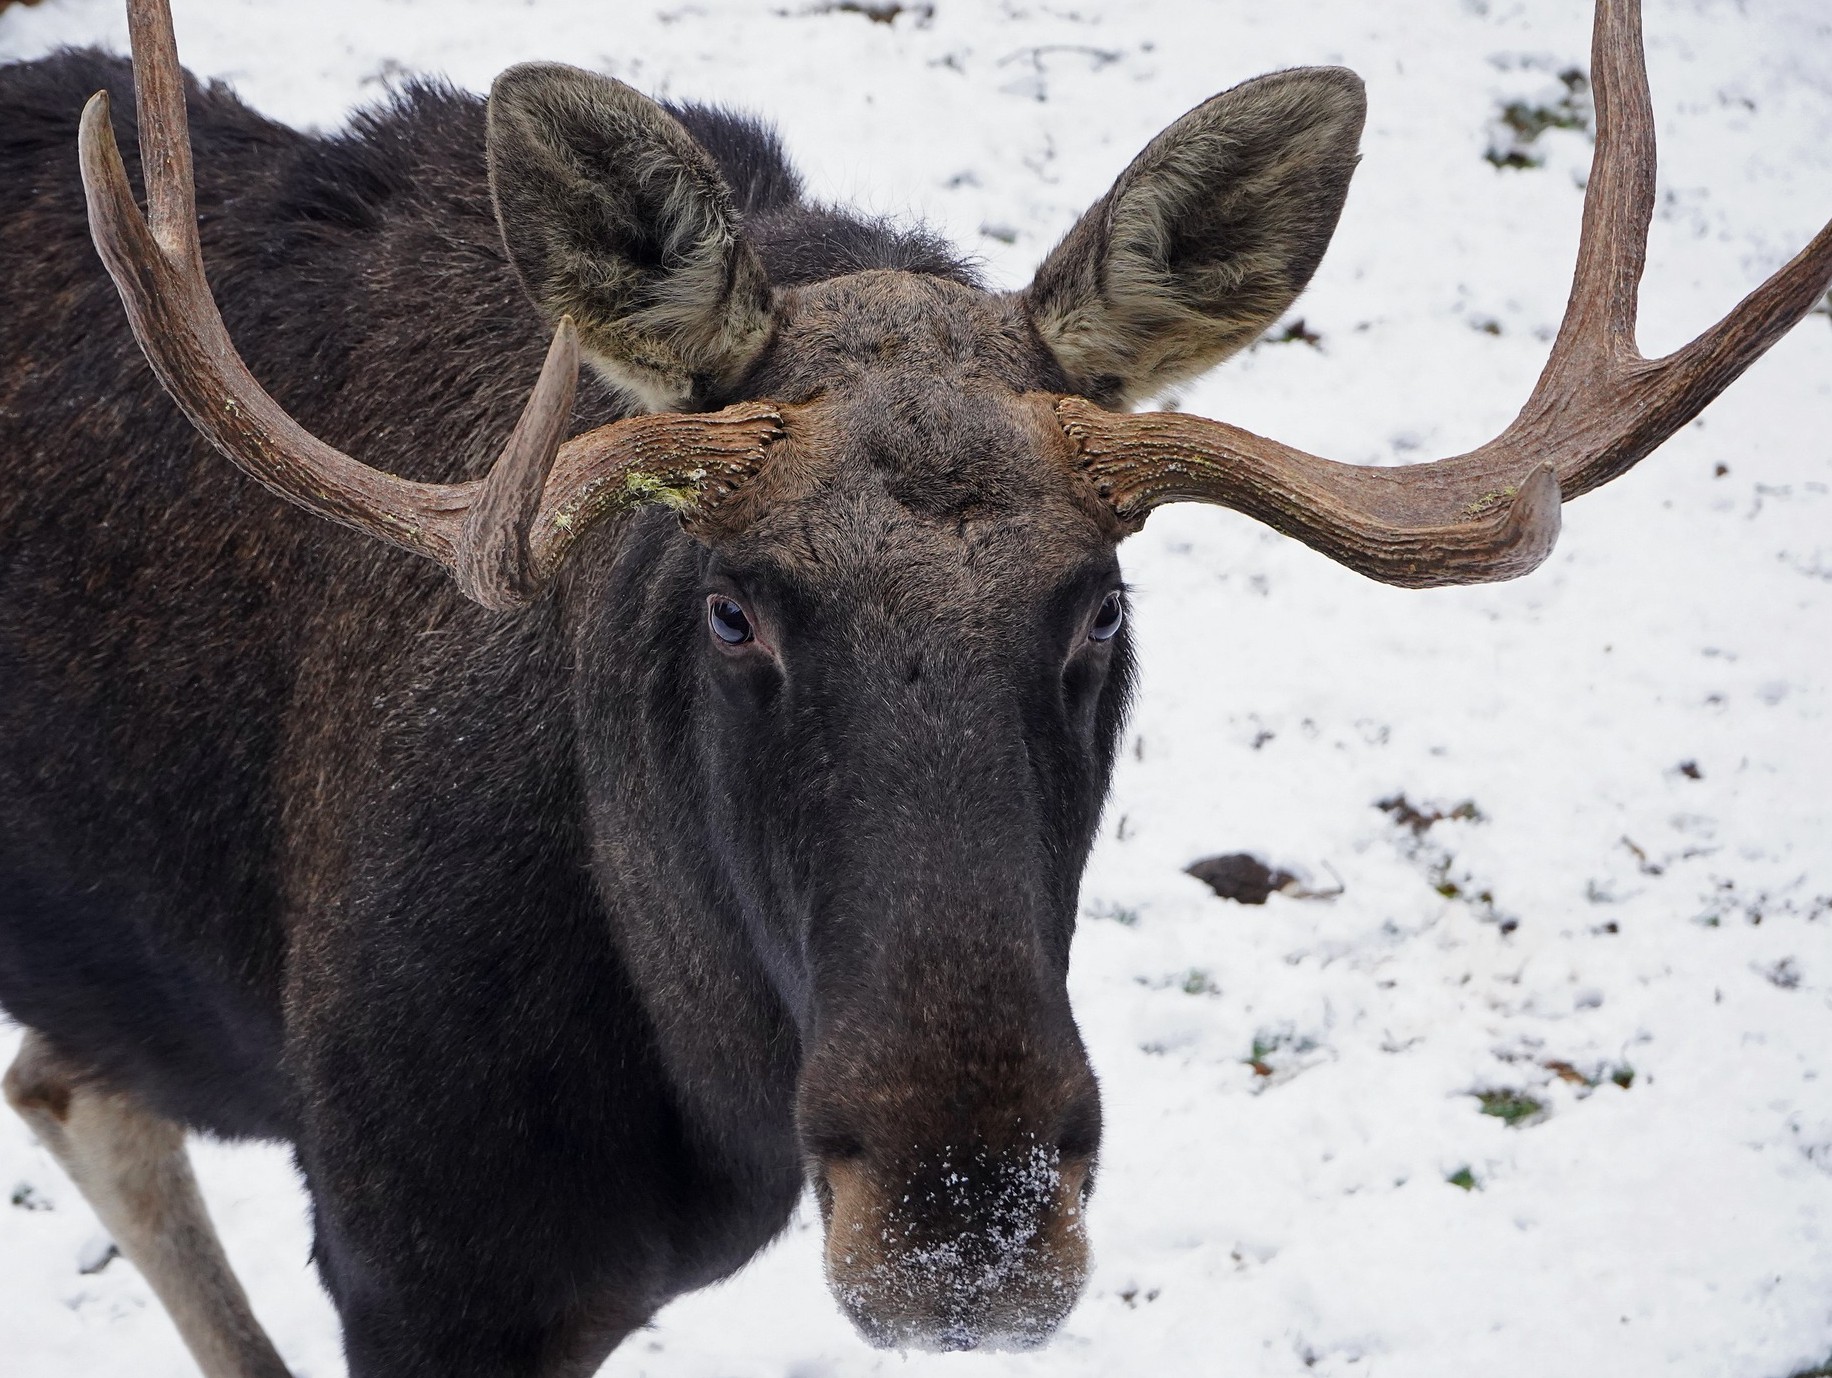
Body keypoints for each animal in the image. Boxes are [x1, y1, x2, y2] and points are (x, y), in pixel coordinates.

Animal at [0, 0, 1824, 1370]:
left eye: (1100, 607)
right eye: (733, 609)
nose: (968, 1222)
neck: (696, 1085)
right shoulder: (414, 1253)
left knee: (72, 1085)